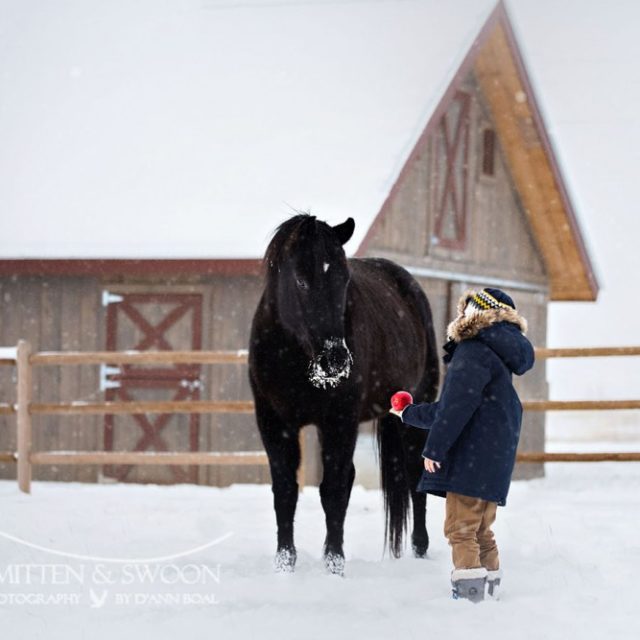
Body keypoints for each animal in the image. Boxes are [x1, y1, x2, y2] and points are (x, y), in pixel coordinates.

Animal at [250, 215, 440, 576]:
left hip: (415, 411)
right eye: (301, 280)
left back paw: (421, 550)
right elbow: (285, 490)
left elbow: (334, 488)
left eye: (344, 279)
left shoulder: (339, 420)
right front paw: (285, 564)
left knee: (413, 475)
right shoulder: (274, 422)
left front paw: (334, 565)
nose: (335, 360)